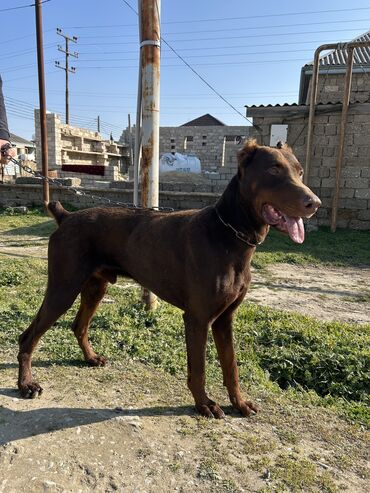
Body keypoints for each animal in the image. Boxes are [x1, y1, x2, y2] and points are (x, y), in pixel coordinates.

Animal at [16, 139, 320, 418]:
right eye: (273, 169)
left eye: (300, 171)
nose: (314, 203)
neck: (229, 234)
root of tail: (65, 216)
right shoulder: (198, 318)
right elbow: (199, 368)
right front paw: (204, 404)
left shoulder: (225, 319)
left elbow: (231, 366)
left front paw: (240, 403)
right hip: (63, 288)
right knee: (28, 337)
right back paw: (26, 384)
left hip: (95, 287)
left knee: (79, 326)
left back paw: (90, 358)